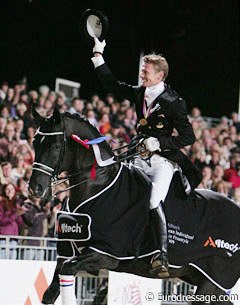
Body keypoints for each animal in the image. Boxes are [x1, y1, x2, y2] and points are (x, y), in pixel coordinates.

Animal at [28, 108, 240, 302]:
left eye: (56, 146)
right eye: (34, 142)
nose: (35, 188)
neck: (97, 187)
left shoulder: (105, 254)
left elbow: (69, 269)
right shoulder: (65, 254)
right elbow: (50, 293)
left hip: (213, 281)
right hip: (201, 279)